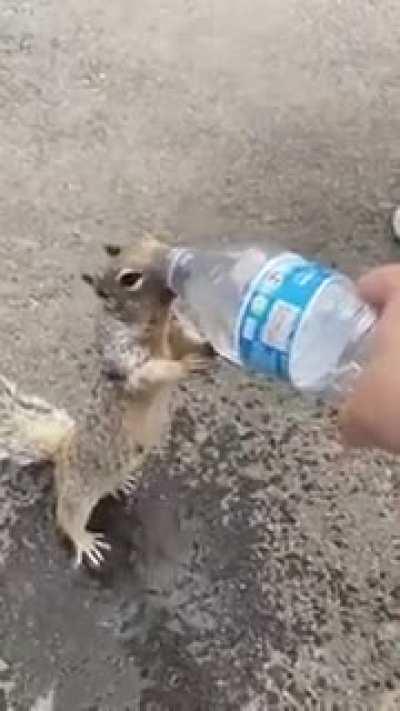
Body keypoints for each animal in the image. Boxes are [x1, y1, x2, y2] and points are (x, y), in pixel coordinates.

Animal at [0, 235, 213, 568]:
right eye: (129, 279)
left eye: (153, 239)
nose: (174, 260)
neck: (158, 325)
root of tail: (61, 452)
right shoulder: (126, 359)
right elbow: (153, 373)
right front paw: (186, 366)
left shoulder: (175, 331)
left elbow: (187, 339)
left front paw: (208, 347)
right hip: (78, 491)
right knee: (66, 517)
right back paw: (84, 541)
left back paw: (120, 485)